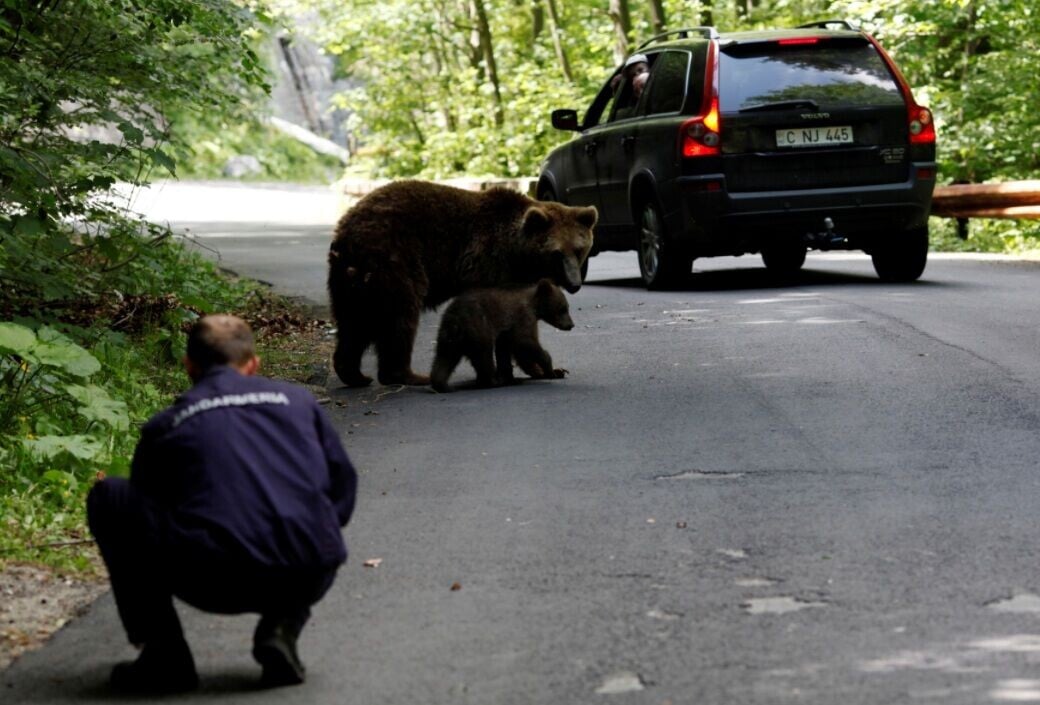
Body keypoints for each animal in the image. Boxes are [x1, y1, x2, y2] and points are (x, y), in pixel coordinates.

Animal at [430, 278, 574, 393]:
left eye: (567, 307)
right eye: (563, 308)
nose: (571, 325)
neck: (535, 308)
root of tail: (455, 321)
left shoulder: (506, 333)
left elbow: (509, 351)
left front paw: (552, 371)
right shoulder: (523, 317)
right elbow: (525, 341)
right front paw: (550, 370)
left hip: (448, 338)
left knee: (443, 359)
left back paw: (442, 385)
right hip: (479, 328)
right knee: (484, 356)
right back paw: (493, 381)